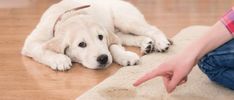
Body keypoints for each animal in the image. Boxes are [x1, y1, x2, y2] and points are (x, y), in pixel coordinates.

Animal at [22, 0, 172, 70]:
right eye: (82, 44)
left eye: (100, 37)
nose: (103, 58)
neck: (70, 14)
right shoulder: (31, 42)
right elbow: (42, 49)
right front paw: (60, 59)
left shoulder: (108, 35)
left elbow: (112, 47)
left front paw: (125, 57)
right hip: (120, 31)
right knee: (129, 37)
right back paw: (147, 44)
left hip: (126, 19)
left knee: (152, 29)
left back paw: (160, 42)